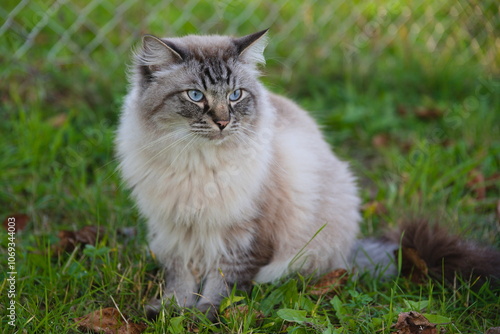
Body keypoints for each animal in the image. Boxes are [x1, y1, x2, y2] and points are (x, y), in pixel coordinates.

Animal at [114, 30, 500, 320]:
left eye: (236, 95)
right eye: (195, 96)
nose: (223, 122)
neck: (197, 162)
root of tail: (352, 250)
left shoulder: (241, 235)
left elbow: (222, 284)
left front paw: (202, 316)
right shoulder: (175, 228)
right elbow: (180, 279)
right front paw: (170, 310)